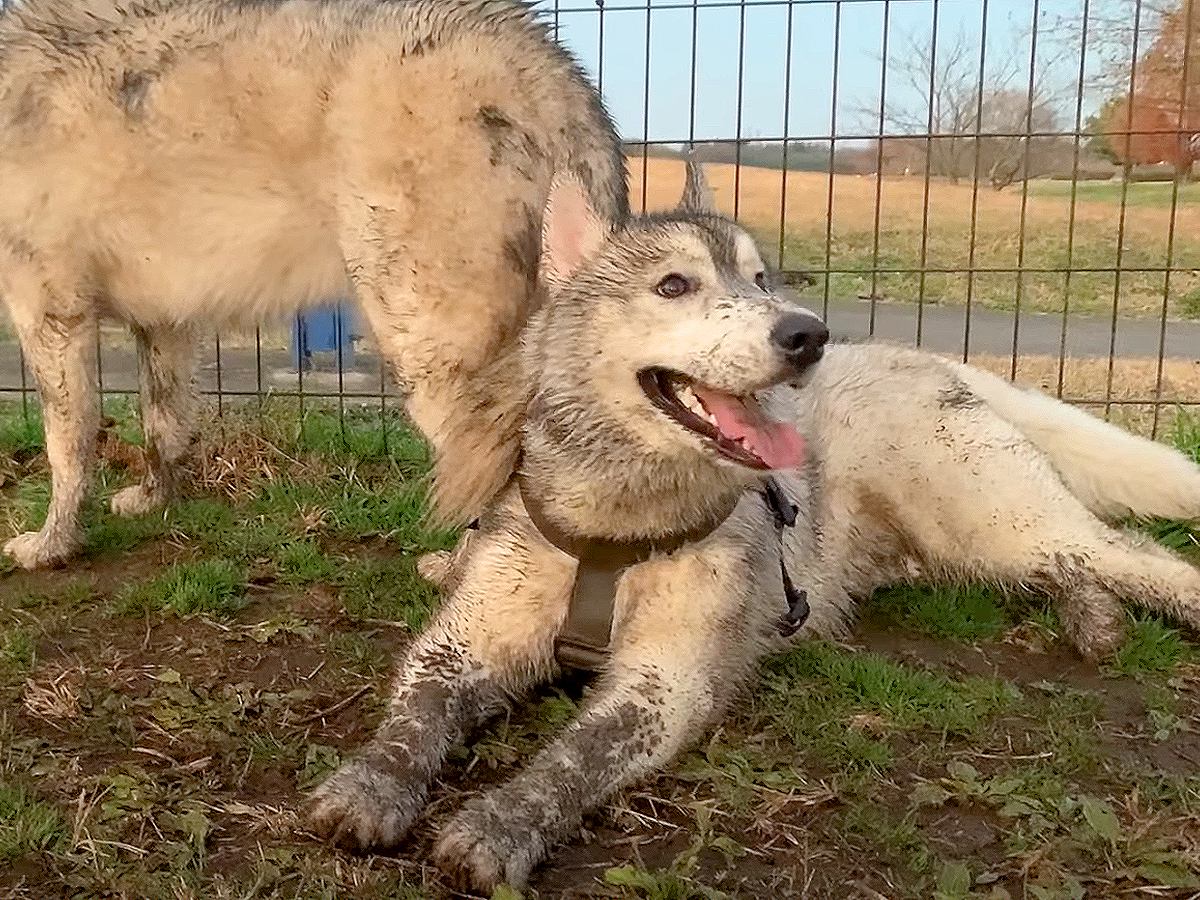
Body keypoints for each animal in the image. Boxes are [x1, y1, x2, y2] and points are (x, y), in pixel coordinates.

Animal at [2, 0, 628, 566]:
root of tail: (549, 64)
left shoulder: (48, 308)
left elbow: (68, 442)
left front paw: (50, 545)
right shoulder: (162, 319)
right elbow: (164, 424)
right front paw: (150, 501)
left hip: (426, 350)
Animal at [307, 165, 1200, 892]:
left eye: (763, 280)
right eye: (674, 286)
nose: (807, 332)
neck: (617, 518)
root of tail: (925, 358)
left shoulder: (664, 683)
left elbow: (569, 760)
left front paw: (498, 826)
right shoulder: (462, 643)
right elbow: (413, 718)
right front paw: (369, 787)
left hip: (992, 515)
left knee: (1124, 553)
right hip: (974, 546)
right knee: (1068, 566)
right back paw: (1095, 620)